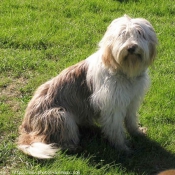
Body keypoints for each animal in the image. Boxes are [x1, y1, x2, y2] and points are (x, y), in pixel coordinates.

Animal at [17, 15, 158, 159]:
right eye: (121, 35)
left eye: (140, 33)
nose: (131, 48)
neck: (122, 69)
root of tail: (26, 126)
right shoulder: (112, 107)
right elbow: (116, 130)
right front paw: (122, 148)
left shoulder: (132, 100)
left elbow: (131, 121)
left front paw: (138, 133)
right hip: (61, 116)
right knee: (58, 141)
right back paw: (75, 147)